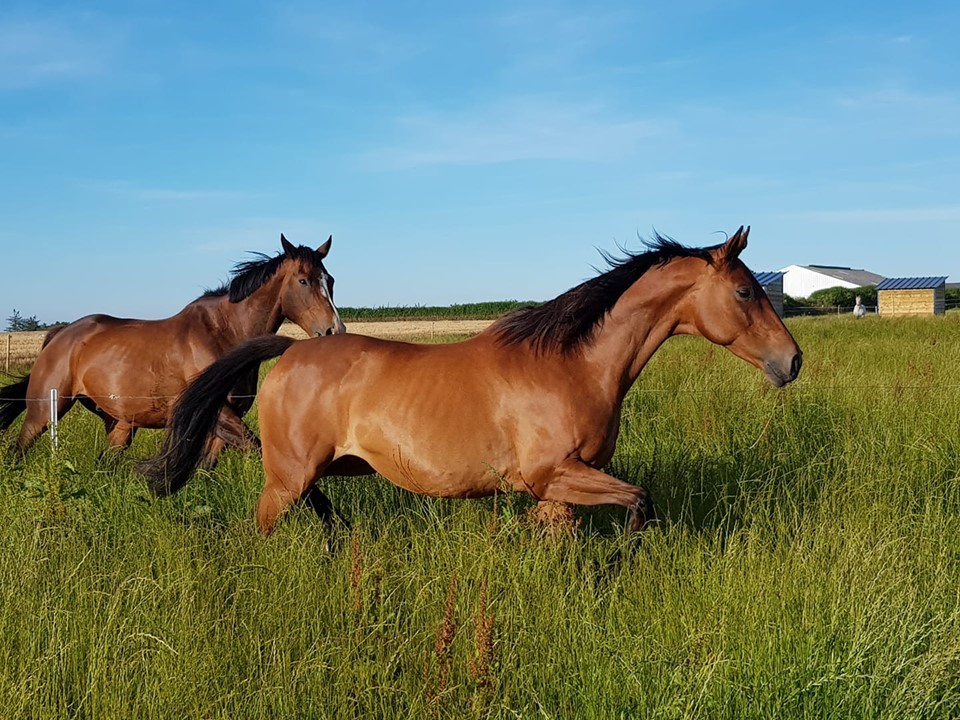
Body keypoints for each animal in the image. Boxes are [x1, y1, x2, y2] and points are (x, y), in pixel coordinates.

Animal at [0, 236, 344, 462]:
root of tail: (60, 335)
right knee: (18, 451)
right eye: (303, 280)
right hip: (43, 413)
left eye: (330, 279)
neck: (224, 334)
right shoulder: (218, 414)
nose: (334, 330)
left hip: (119, 423)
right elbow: (256, 450)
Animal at [141, 226, 804, 536]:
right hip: (284, 479)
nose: (792, 361)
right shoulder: (554, 475)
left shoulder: (555, 492)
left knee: (325, 515)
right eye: (745, 292)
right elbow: (640, 503)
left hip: (308, 473)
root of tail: (293, 347)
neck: (572, 365)